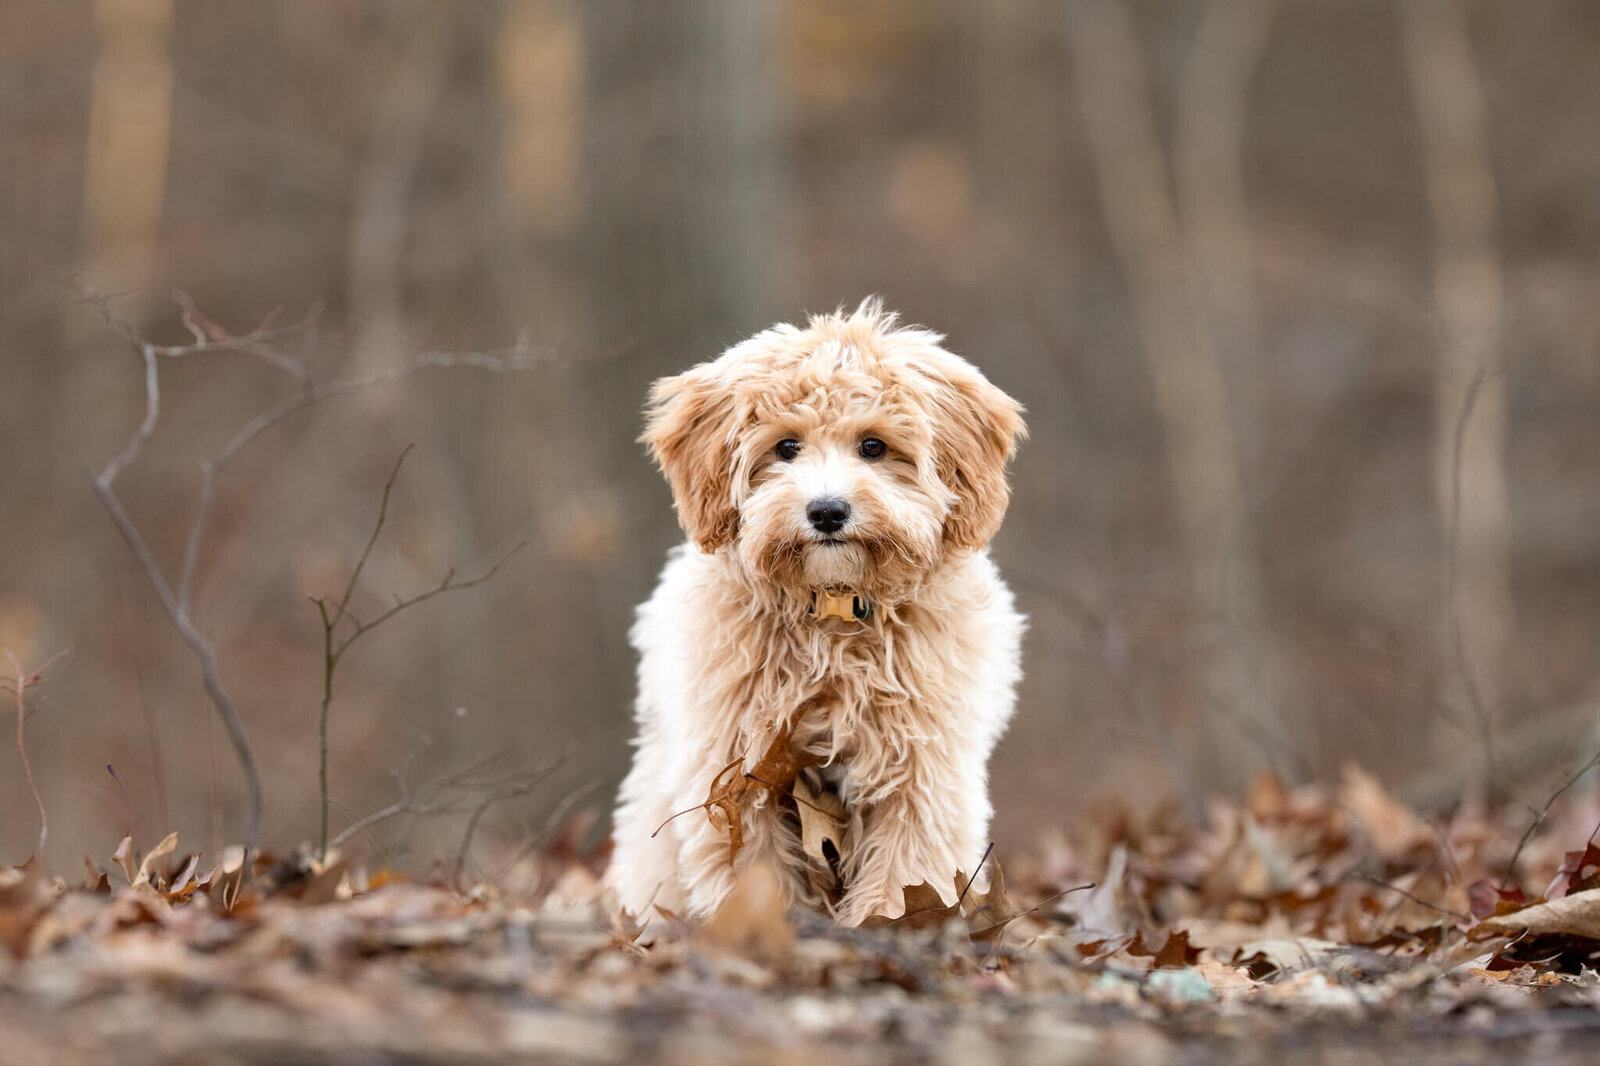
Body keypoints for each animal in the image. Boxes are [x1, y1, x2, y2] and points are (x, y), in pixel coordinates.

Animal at [601, 299, 1024, 921]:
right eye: (785, 447)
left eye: (873, 446)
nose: (827, 511)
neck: (833, 613)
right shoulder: (737, 775)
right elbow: (754, 870)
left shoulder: (921, 770)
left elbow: (905, 870)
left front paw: (888, 929)